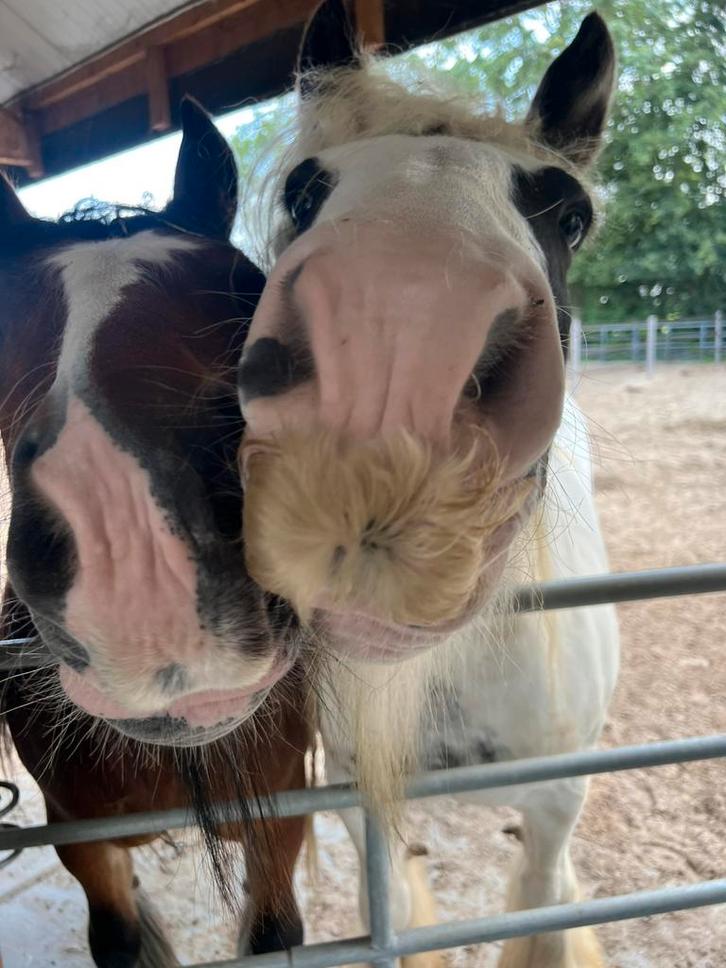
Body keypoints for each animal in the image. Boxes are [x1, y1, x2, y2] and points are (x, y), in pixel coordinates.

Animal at [237, 2, 620, 965]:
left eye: (571, 215)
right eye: (304, 190)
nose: (395, 355)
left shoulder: (556, 809)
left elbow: (544, 912)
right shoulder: (368, 811)